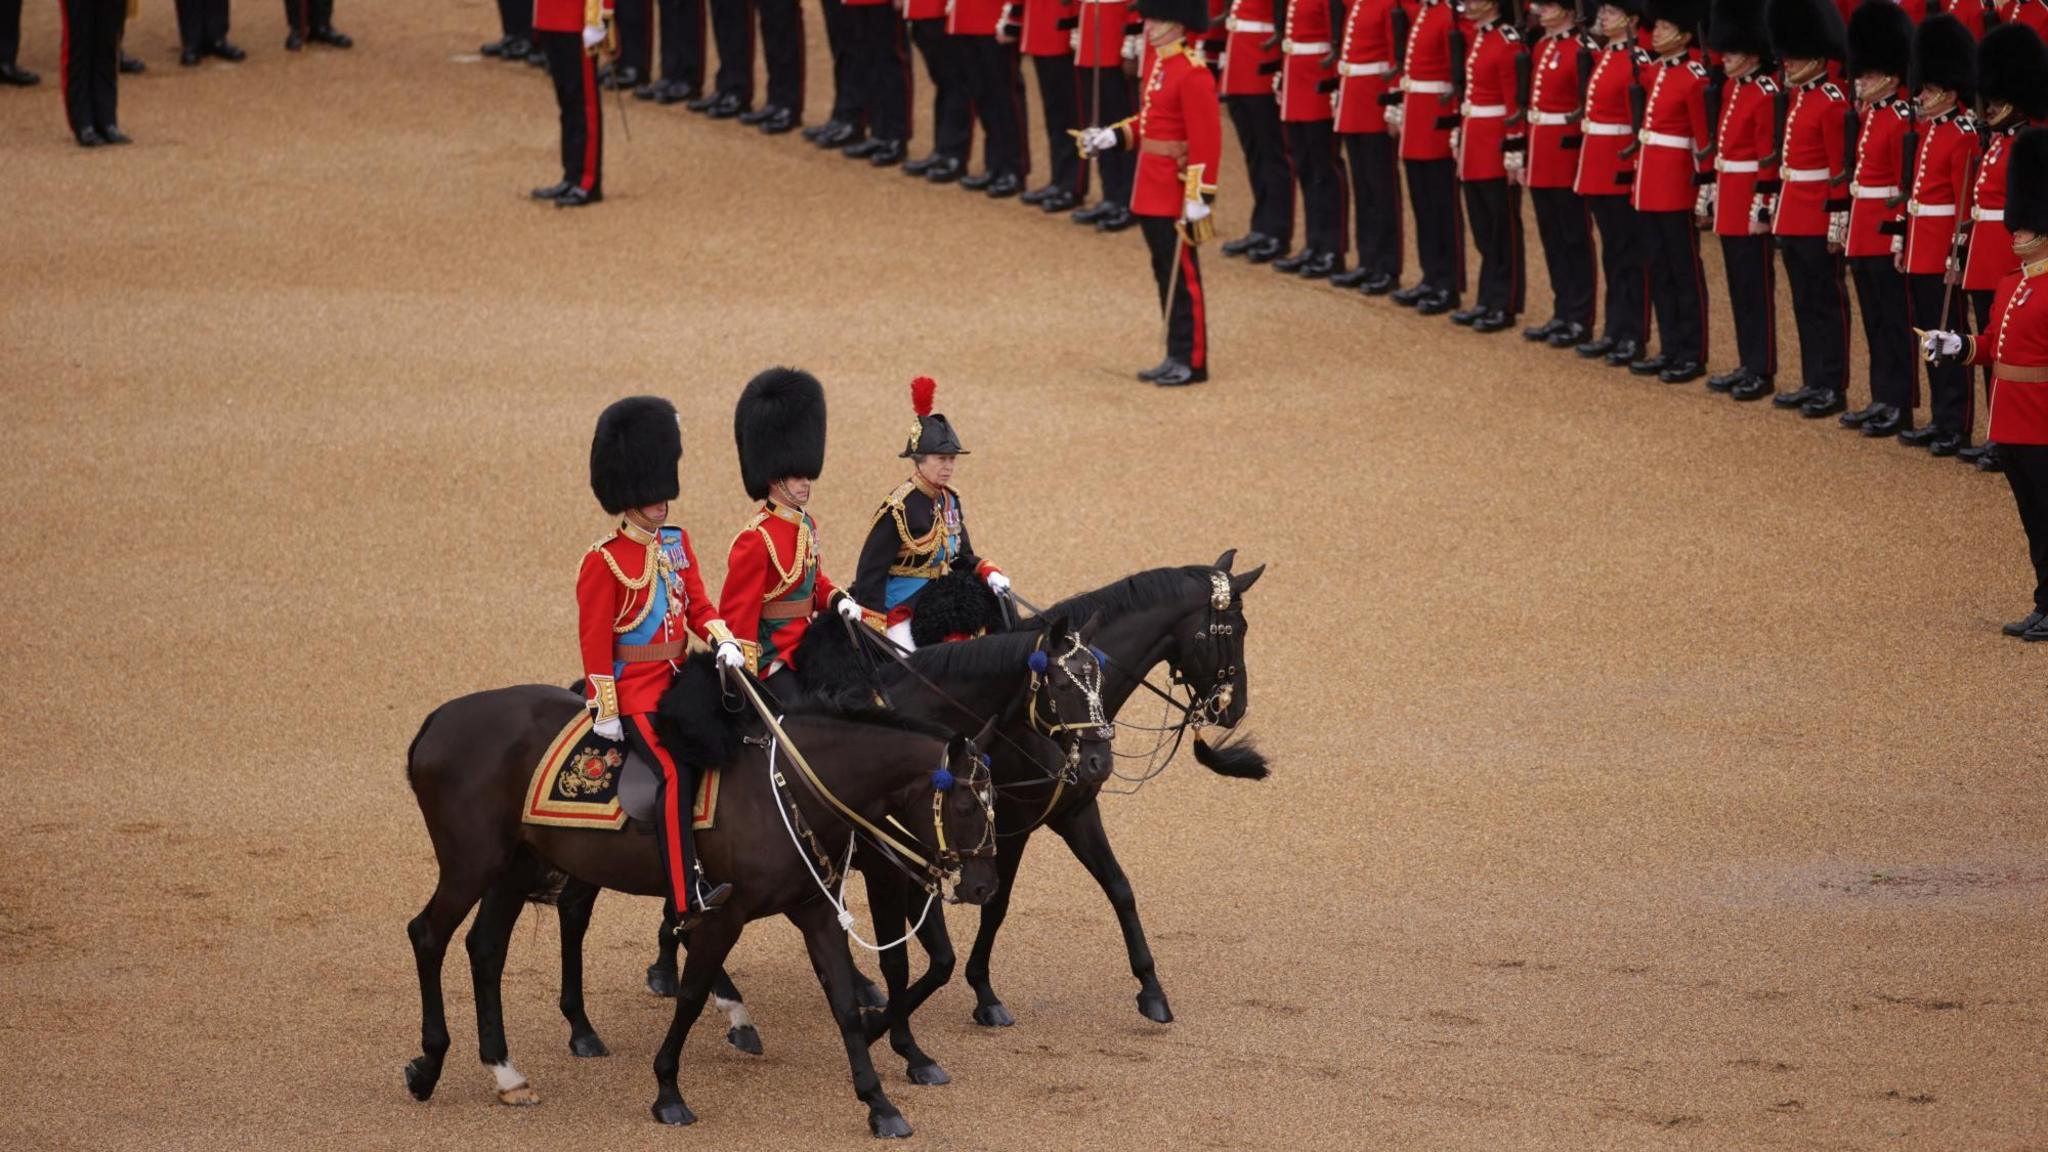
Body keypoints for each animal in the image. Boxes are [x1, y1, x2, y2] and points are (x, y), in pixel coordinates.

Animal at [399, 651, 999, 1131]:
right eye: (968, 806)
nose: (983, 885)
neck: (788, 787)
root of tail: (438, 719)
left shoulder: (813, 910)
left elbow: (845, 1005)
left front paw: (879, 1103)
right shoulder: (721, 914)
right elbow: (690, 995)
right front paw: (668, 1091)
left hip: (516, 866)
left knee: (486, 949)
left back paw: (506, 1074)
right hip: (472, 865)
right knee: (428, 934)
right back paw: (429, 1065)